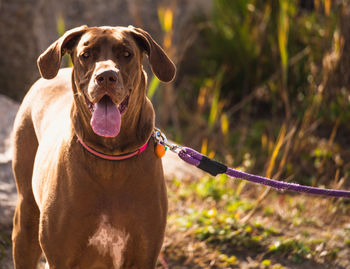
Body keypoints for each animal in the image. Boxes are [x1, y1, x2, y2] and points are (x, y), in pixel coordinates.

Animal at [11, 25, 175, 268]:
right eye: (86, 55)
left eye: (127, 53)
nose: (106, 76)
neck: (111, 157)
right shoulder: (59, 257)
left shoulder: (143, 256)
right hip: (26, 217)